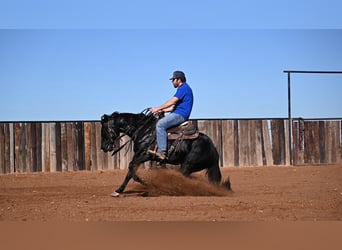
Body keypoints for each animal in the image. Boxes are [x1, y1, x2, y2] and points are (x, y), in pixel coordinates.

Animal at [100, 110, 231, 196]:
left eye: (104, 130)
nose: (103, 147)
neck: (143, 130)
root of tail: (213, 149)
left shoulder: (145, 155)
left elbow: (131, 167)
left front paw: (146, 183)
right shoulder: (138, 155)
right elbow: (130, 172)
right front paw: (118, 190)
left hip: (188, 165)